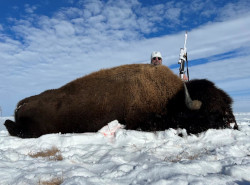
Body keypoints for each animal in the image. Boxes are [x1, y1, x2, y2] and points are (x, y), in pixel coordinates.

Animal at [4, 63, 237, 137]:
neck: (174, 99)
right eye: (212, 111)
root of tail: (22, 103)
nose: (232, 124)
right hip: (33, 130)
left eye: (227, 104)